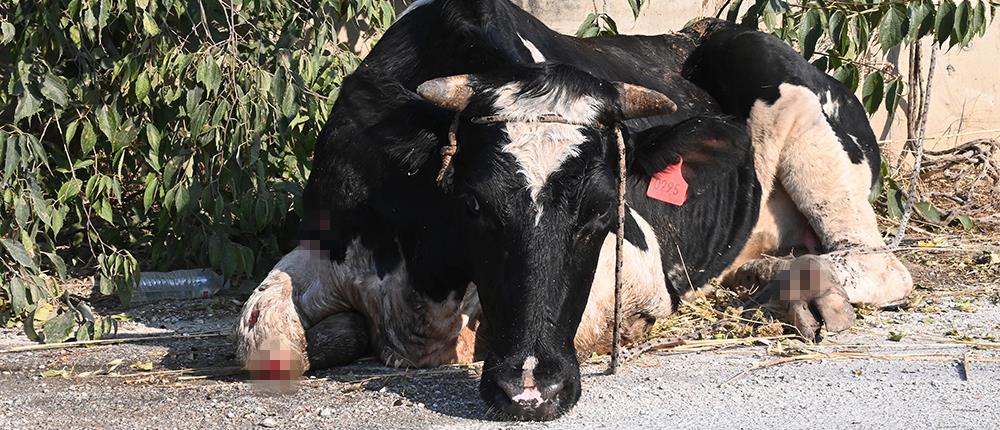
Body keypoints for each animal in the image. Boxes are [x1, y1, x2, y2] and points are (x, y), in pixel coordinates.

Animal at [236, 0, 916, 422]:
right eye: (474, 205)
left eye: (600, 214)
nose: (531, 390)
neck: (430, 280)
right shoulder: (326, 237)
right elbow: (264, 338)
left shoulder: (637, 266)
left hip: (795, 103)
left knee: (881, 262)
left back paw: (799, 289)